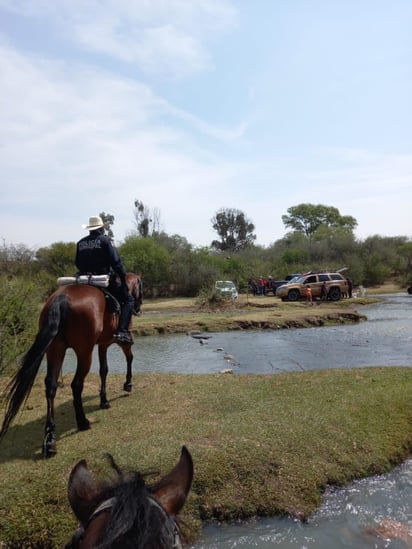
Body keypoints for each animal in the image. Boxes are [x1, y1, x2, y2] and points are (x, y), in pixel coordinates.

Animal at [0, 272, 142, 456]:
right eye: (141, 287)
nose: (138, 308)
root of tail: (61, 299)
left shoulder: (102, 344)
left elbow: (104, 370)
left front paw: (104, 401)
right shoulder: (120, 341)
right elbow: (128, 359)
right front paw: (127, 384)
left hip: (55, 350)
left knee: (51, 386)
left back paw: (50, 438)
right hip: (84, 352)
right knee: (76, 384)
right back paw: (82, 422)